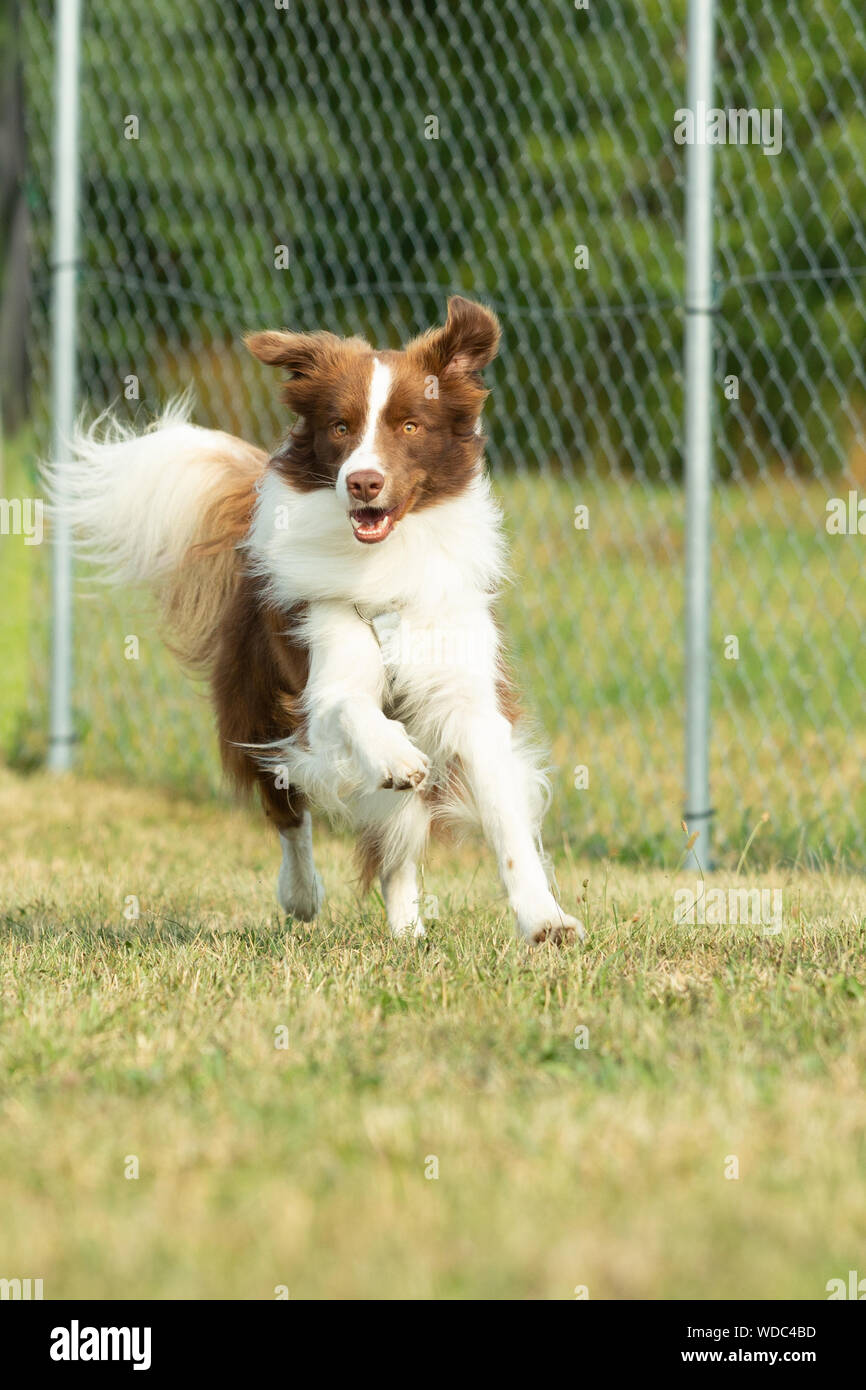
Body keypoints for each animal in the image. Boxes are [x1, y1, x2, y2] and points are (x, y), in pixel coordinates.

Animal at [52, 294, 583, 945]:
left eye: (410, 426)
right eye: (340, 427)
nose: (363, 482)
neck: (385, 563)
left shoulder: (466, 698)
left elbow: (506, 822)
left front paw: (544, 920)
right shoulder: (321, 674)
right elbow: (349, 706)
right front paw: (396, 754)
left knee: (395, 846)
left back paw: (407, 932)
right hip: (257, 705)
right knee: (287, 809)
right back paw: (301, 892)